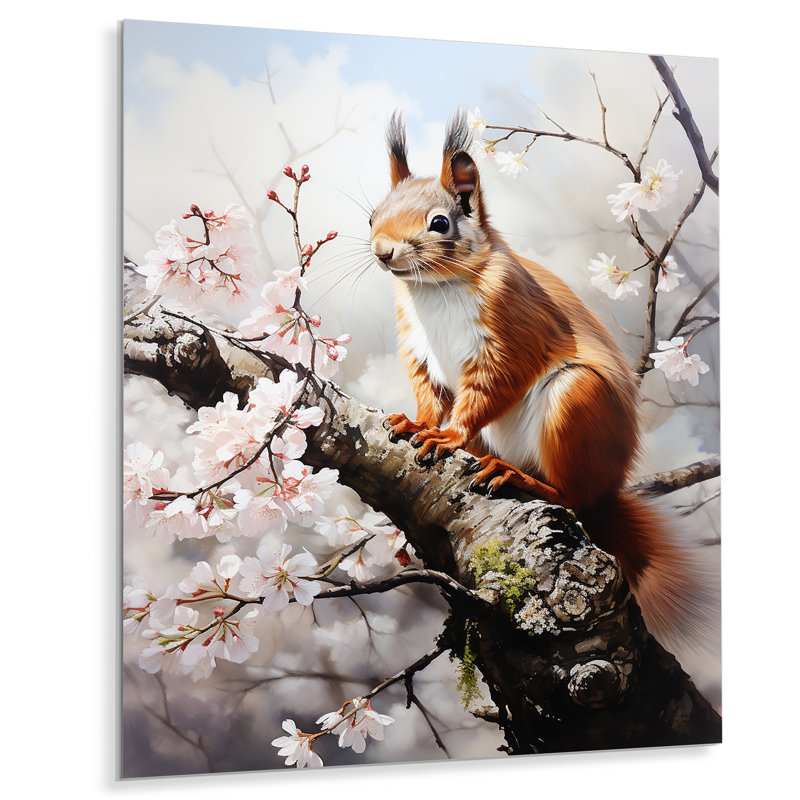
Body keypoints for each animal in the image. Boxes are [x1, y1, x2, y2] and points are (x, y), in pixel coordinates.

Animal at [369, 110, 715, 655]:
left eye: (439, 223)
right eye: (372, 217)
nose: (383, 253)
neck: (436, 289)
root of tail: (608, 487)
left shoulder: (514, 326)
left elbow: (489, 388)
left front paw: (447, 436)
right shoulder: (419, 348)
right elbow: (430, 392)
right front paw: (416, 422)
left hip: (576, 401)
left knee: (572, 496)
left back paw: (521, 479)